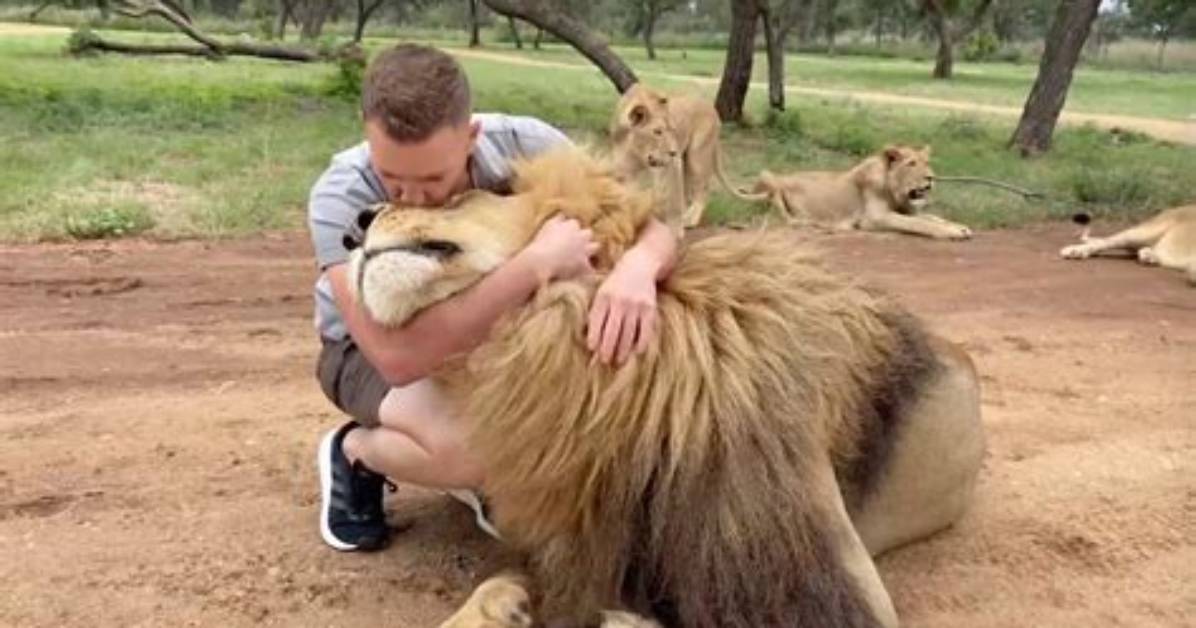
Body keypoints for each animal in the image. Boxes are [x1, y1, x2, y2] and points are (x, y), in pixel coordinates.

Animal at [610, 82, 760, 229]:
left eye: (673, 130)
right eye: (658, 131)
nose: (673, 152)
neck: (637, 149)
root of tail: (712, 110)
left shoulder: (670, 166)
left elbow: (661, 193)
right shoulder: (625, 171)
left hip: (696, 157)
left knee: (703, 188)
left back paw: (690, 220)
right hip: (686, 162)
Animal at [743, 145, 974, 240]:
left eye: (927, 163)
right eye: (911, 164)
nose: (931, 178)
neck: (893, 190)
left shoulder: (907, 210)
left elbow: (932, 218)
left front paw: (959, 227)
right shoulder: (875, 218)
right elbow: (919, 223)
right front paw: (951, 233)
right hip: (769, 177)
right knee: (784, 216)